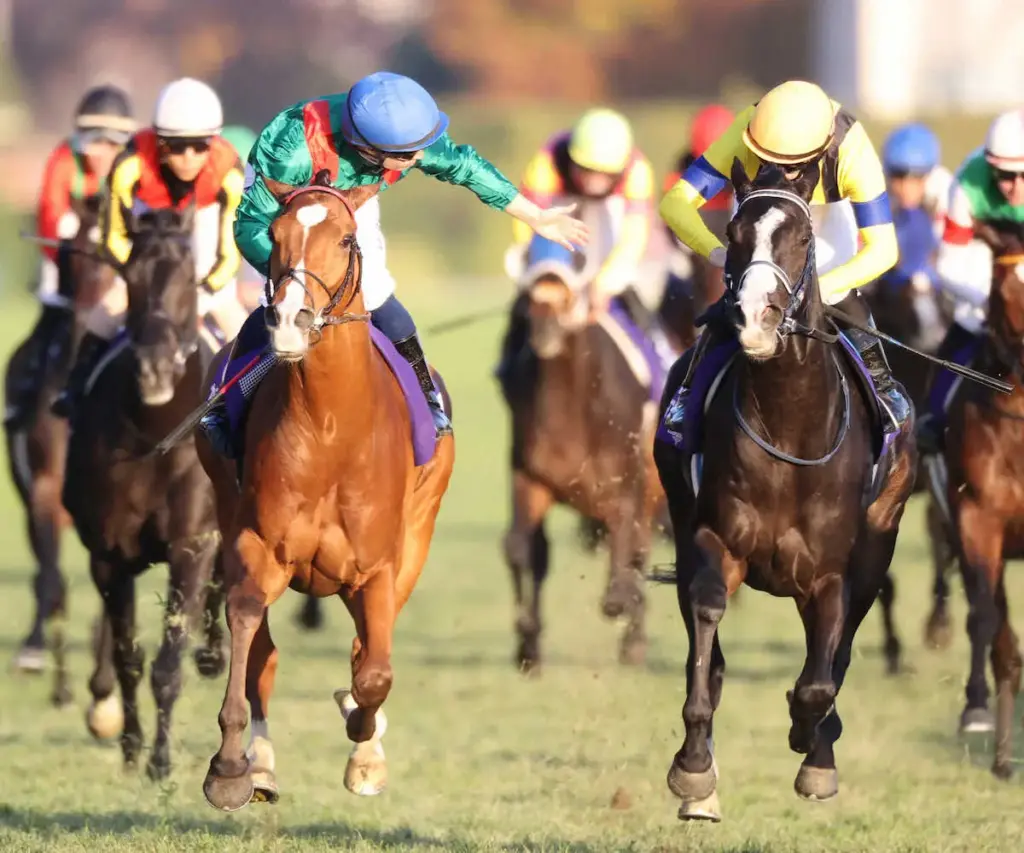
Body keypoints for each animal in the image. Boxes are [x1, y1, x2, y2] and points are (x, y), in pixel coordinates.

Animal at [61, 205, 226, 781]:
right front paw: (132, 747)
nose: (154, 367)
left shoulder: (192, 544)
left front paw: (160, 759)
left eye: (188, 277)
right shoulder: (108, 555)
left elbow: (169, 661)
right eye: (129, 277)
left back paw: (215, 654)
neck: (154, 434)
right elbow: (129, 657)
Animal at [195, 178, 455, 812]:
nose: (291, 318)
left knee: (368, 650)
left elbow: (374, 673)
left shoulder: (379, 565)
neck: (331, 428)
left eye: (344, 238)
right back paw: (260, 764)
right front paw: (232, 767)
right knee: (266, 652)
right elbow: (250, 637)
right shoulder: (256, 543)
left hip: (417, 538)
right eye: (276, 235)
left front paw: (364, 745)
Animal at [501, 248, 663, 672]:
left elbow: (624, 562)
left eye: (569, 295)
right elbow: (521, 549)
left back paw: (634, 639)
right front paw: (527, 640)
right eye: (529, 299)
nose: (544, 333)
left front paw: (623, 603)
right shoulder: (530, 479)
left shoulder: (624, 485)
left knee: (639, 552)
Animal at [653, 161, 916, 821]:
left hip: (878, 544)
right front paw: (694, 771)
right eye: (733, 233)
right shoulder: (712, 540)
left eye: (800, 237)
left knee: (839, 650)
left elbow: (821, 678)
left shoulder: (830, 572)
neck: (787, 426)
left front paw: (810, 742)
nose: (753, 318)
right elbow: (707, 632)